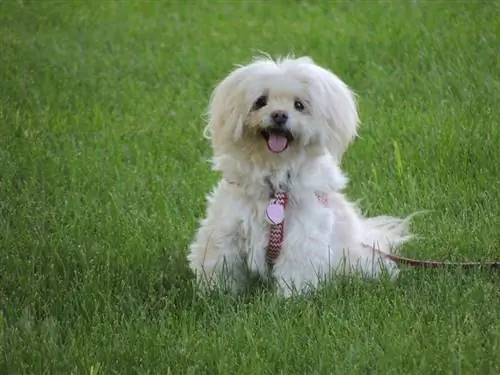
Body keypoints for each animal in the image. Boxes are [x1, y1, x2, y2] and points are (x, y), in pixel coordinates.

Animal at [186, 55, 412, 296]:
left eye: (299, 105)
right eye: (260, 101)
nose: (279, 115)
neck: (275, 185)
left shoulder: (302, 234)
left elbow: (295, 270)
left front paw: (290, 298)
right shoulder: (227, 228)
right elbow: (219, 261)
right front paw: (216, 293)